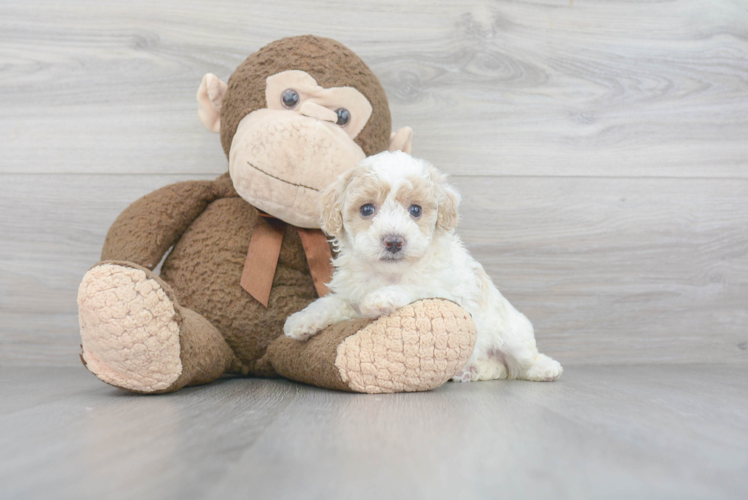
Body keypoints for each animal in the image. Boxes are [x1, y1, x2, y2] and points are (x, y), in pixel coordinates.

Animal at [284, 150, 560, 380]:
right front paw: (302, 321)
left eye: (415, 210)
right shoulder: (351, 296)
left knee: (523, 361)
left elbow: (415, 288)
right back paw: (471, 370)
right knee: (499, 368)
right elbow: (332, 302)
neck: (390, 274)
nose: (394, 241)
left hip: (513, 335)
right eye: (367, 209)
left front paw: (382, 298)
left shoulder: (444, 291)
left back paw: (546, 368)